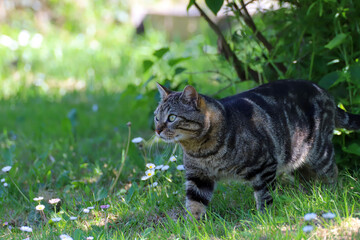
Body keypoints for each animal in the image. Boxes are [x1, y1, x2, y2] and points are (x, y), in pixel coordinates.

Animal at [153, 80, 358, 219]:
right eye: (157, 117)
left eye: (172, 118)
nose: (157, 130)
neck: (201, 151)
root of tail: (323, 91)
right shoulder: (198, 176)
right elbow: (194, 204)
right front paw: (193, 226)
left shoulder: (264, 166)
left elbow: (264, 196)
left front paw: (265, 219)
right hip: (298, 156)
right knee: (306, 178)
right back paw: (307, 195)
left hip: (319, 153)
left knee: (332, 173)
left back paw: (331, 195)